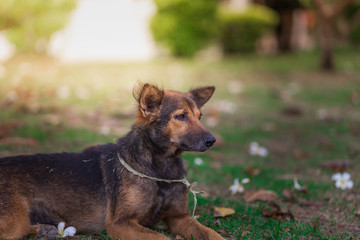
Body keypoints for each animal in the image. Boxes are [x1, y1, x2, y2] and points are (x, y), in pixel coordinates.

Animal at [0, 83, 225, 239]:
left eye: (200, 116)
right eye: (181, 116)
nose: (212, 140)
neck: (160, 169)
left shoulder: (180, 218)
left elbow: (212, 234)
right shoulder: (120, 223)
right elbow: (161, 238)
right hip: (14, 221)